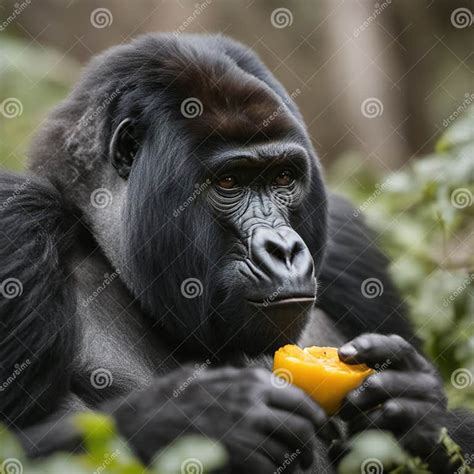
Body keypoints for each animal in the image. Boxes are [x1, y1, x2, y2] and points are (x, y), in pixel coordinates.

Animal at [0, 34, 472, 474]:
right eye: (229, 182)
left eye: (283, 176)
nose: (284, 249)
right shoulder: (18, 222)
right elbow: (20, 448)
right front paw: (201, 417)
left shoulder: (347, 240)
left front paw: (417, 405)